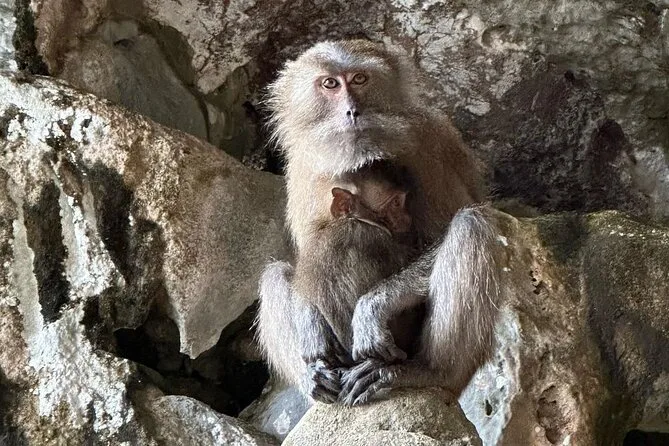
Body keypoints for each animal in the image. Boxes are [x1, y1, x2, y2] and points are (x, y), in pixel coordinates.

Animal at [256, 39, 504, 406]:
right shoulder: (301, 166)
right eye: (330, 84)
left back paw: (428, 371)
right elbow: (302, 261)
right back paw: (314, 380)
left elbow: (444, 228)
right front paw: (309, 321)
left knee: (471, 226)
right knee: (276, 273)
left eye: (360, 79)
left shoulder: (426, 143)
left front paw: (371, 309)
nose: (352, 111)